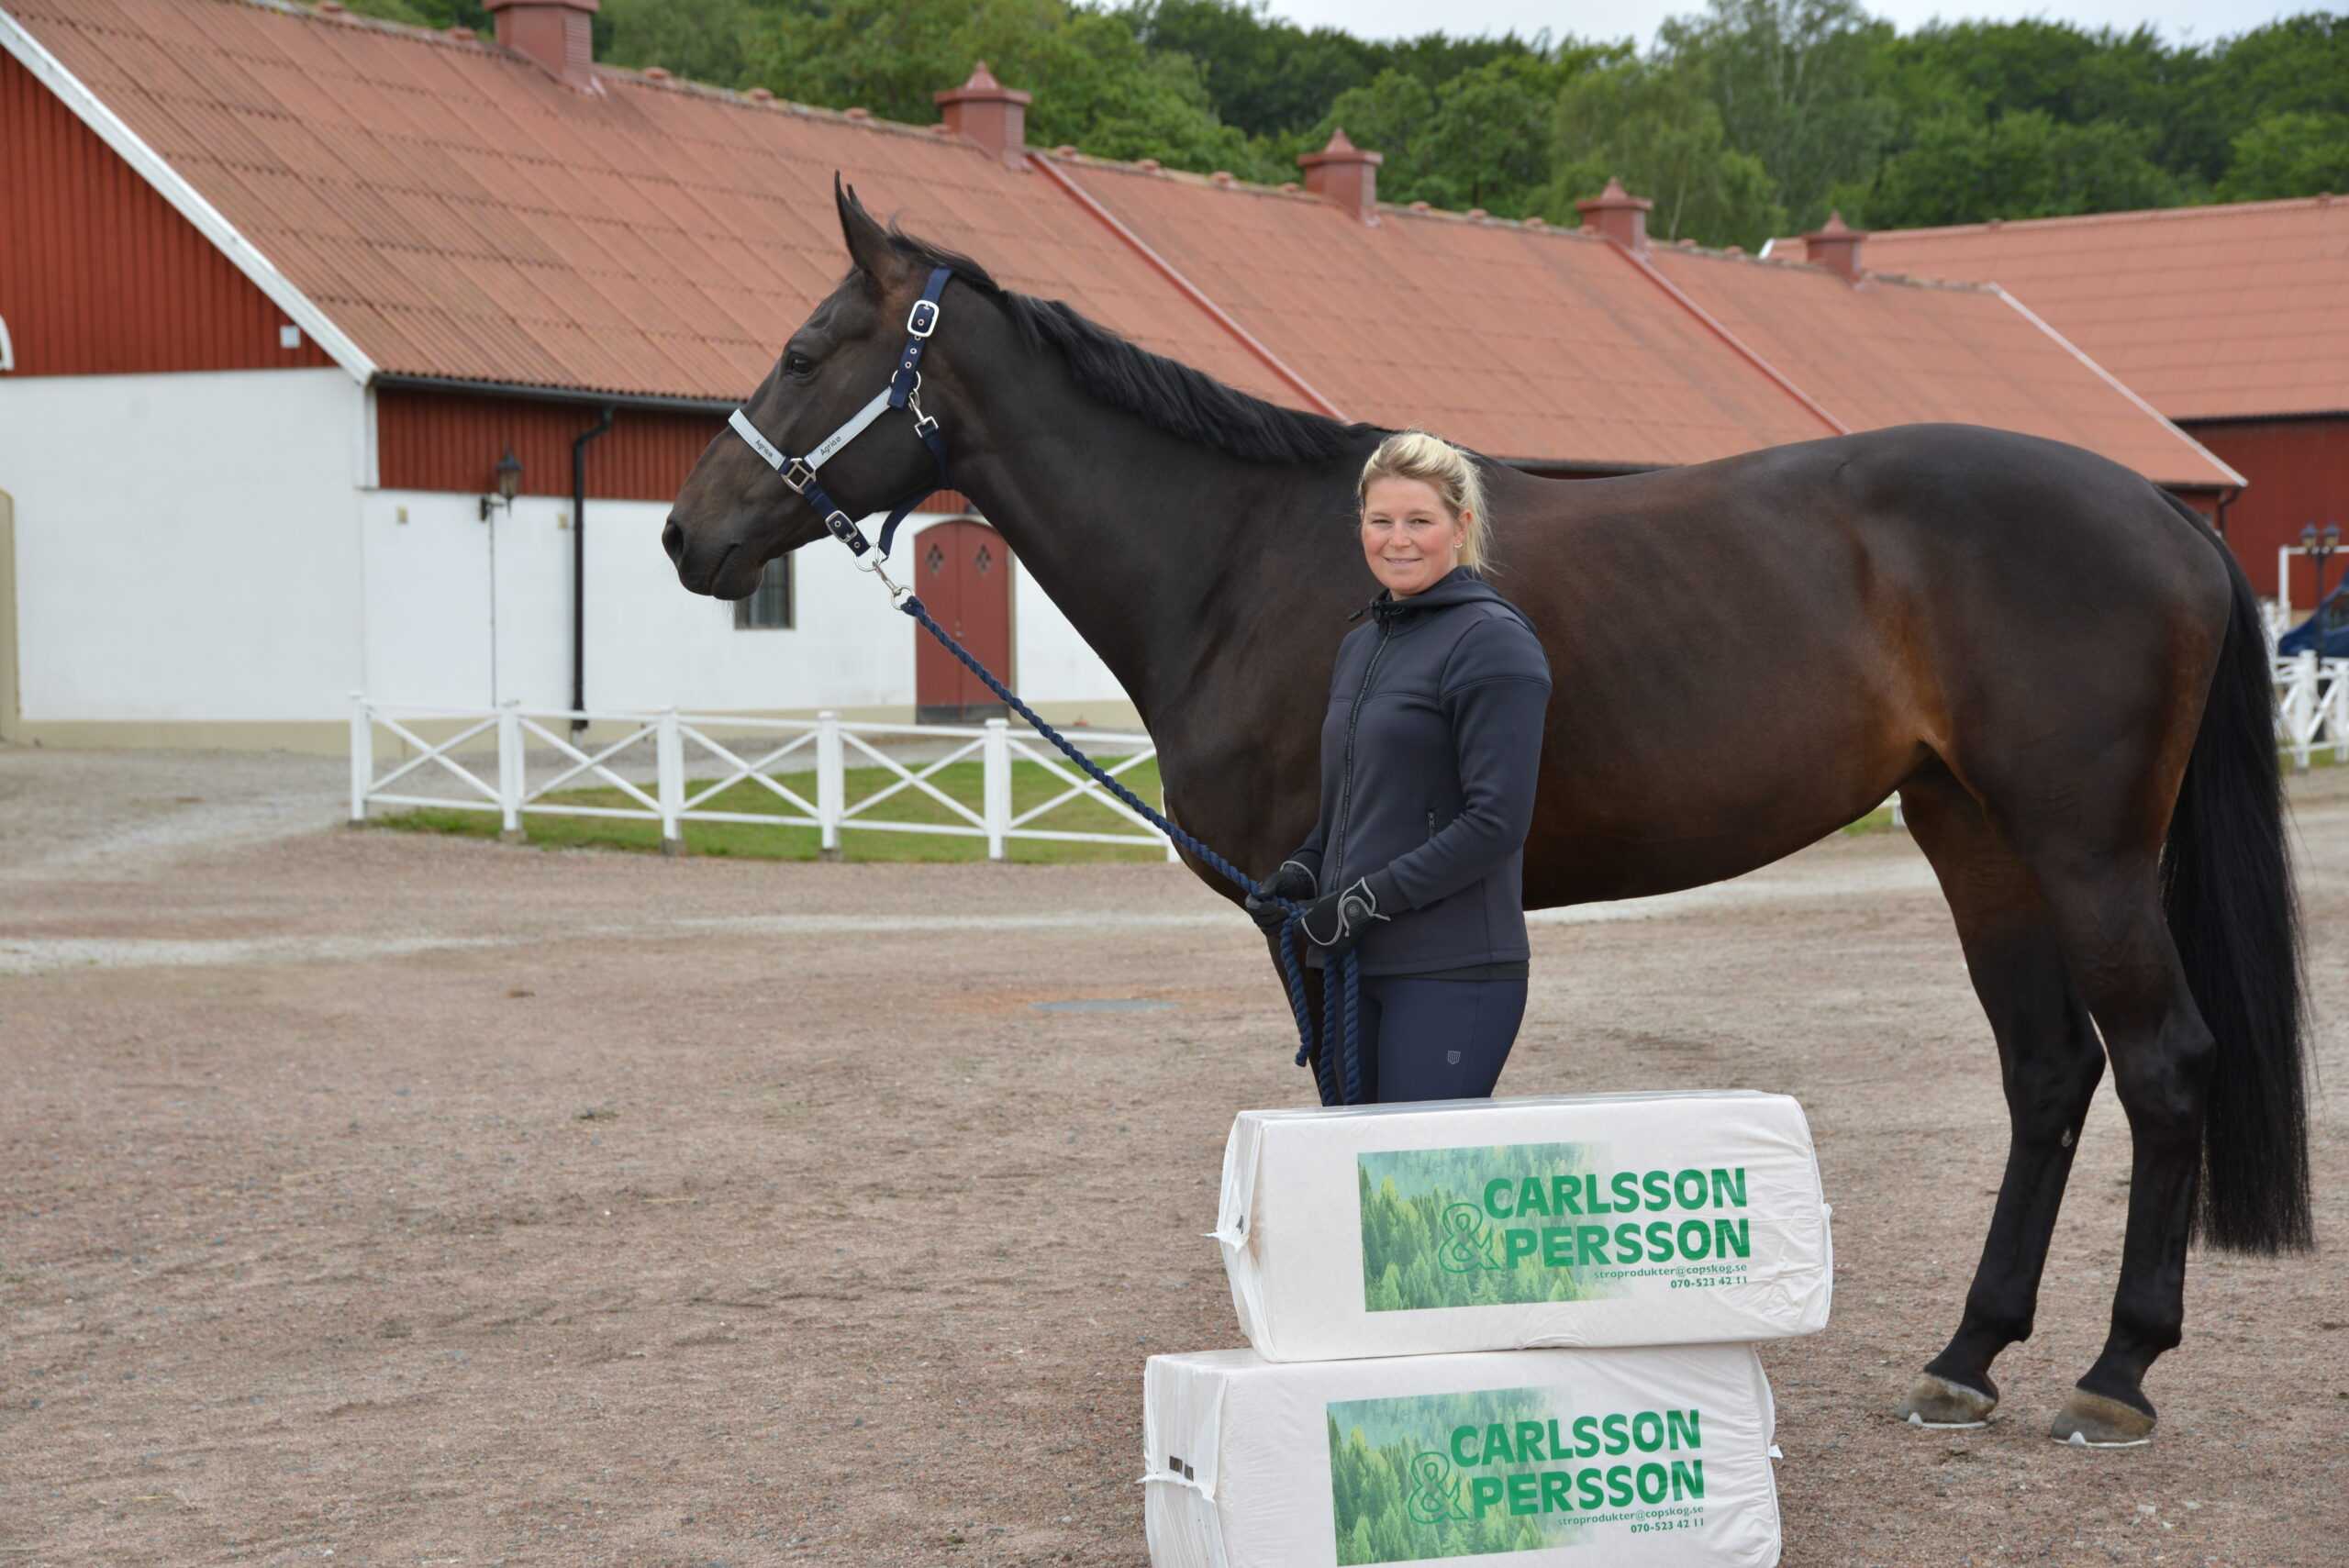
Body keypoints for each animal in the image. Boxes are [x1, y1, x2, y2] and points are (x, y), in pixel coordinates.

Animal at [662, 180, 2311, 1445]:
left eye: (806, 349)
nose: (689, 534)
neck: (1247, 559)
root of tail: (2165, 519)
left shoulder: (1313, 912)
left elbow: (1358, 1110)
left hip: (2089, 849)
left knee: (2161, 1065)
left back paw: (2114, 1372)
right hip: (1974, 833)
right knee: (2047, 1072)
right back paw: (1968, 1357)